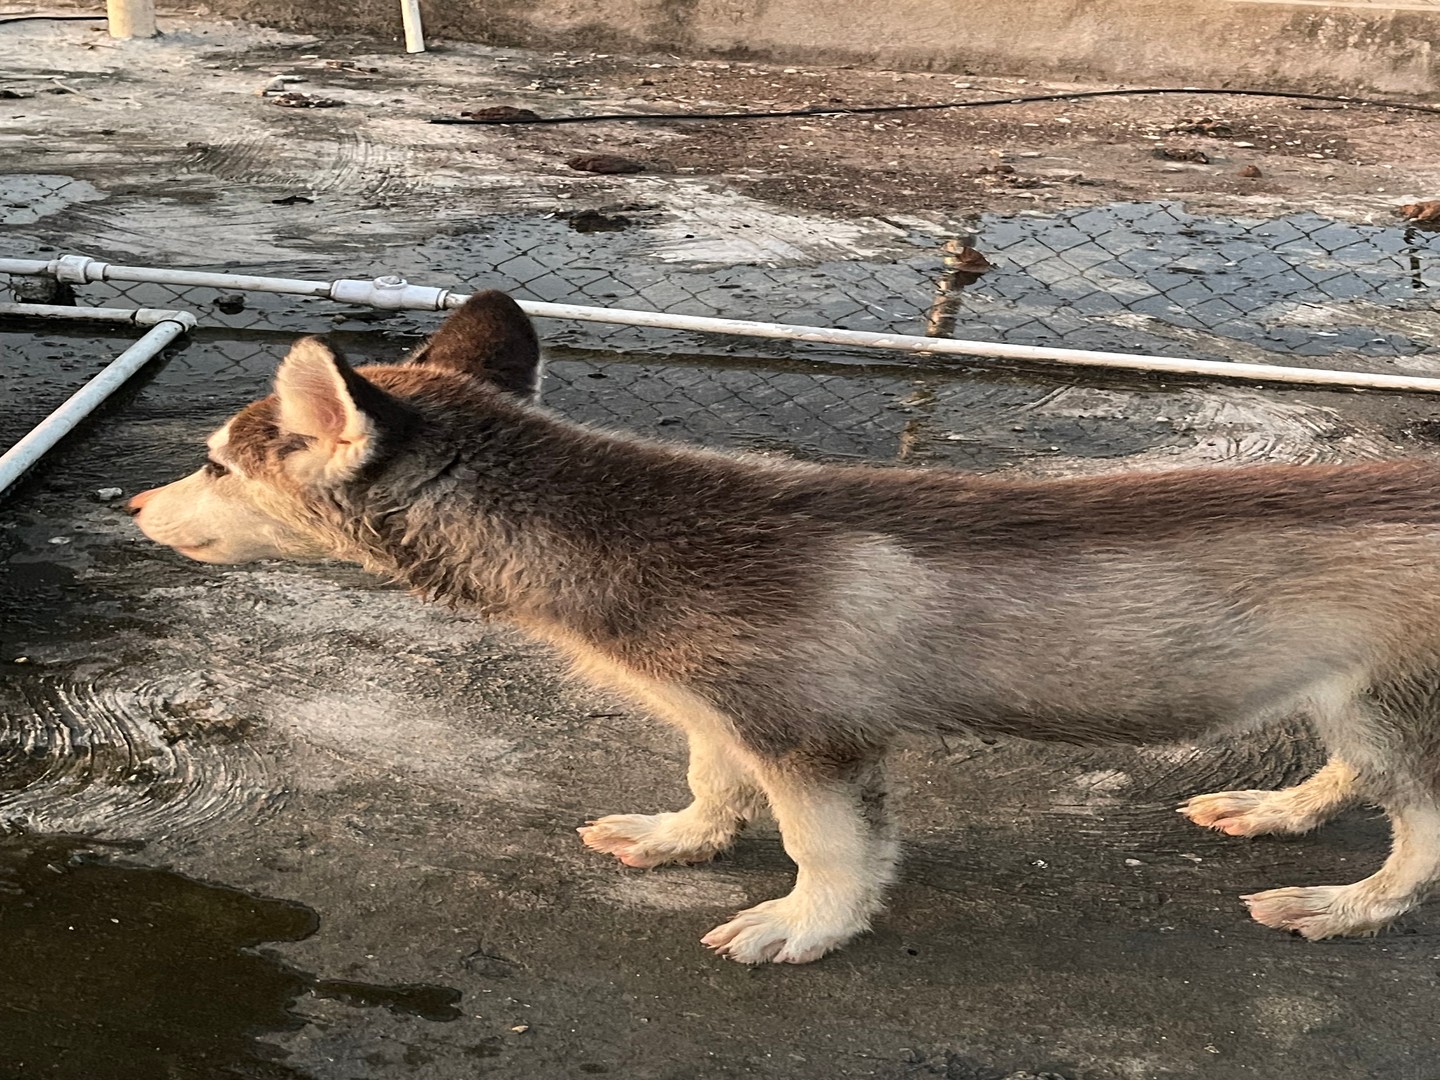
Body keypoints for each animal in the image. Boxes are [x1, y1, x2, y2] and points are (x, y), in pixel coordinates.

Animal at [126, 288, 1440, 961]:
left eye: (213, 464)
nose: (129, 505)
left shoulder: (815, 740)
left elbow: (831, 853)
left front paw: (805, 927)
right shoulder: (719, 710)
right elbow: (709, 782)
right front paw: (682, 840)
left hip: (1395, 706)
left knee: (1420, 834)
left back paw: (1348, 906)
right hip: (1354, 699)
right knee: (1351, 773)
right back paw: (1277, 811)